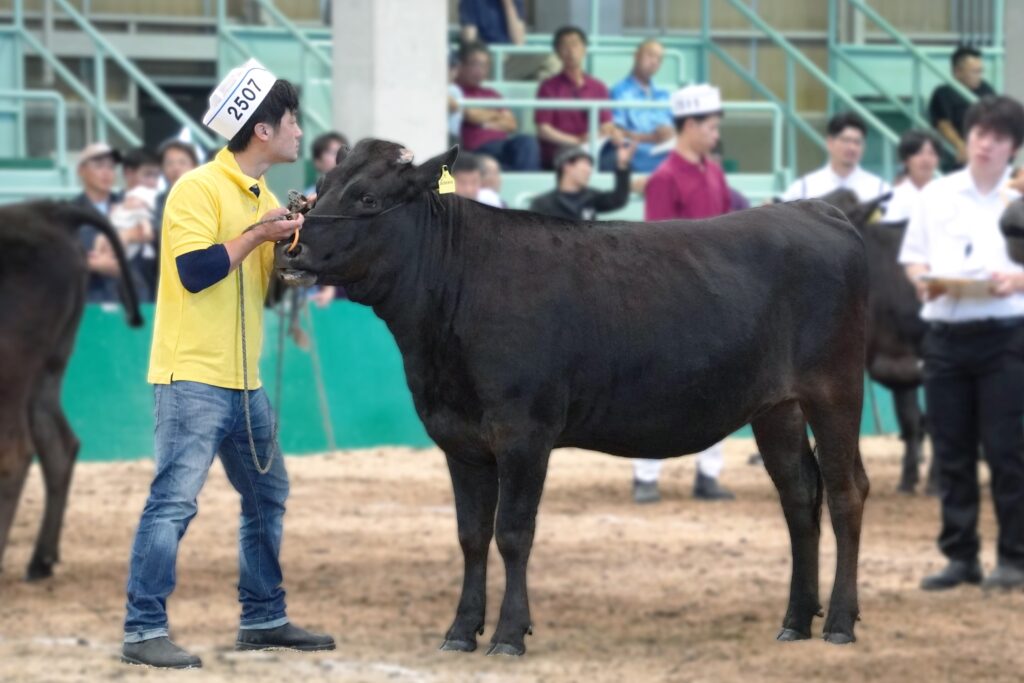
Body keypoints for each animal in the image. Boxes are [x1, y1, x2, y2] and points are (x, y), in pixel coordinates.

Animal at [0, 200, 142, 581]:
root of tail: (46, 211)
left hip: (12, 369)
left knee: (15, 452)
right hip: (46, 371)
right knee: (58, 445)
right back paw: (41, 560)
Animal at [276, 141, 868, 655]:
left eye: (367, 199)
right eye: (320, 188)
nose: (292, 247)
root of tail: (816, 210)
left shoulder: (524, 432)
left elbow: (513, 532)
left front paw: (508, 635)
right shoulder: (458, 437)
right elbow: (471, 535)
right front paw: (461, 632)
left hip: (835, 388)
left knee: (846, 491)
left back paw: (839, 622)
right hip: (777, 406)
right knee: (799, 494)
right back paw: (795, 621)